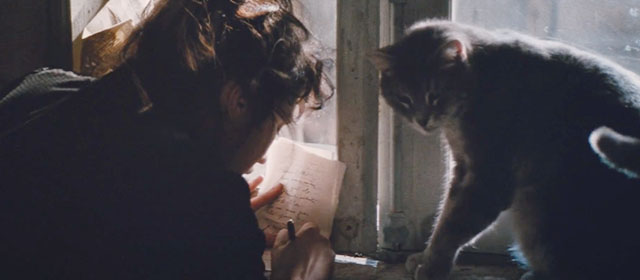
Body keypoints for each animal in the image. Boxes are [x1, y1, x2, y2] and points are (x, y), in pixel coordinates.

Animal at [370, 20, 640, 280]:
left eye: (434, 96)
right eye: (404, 99)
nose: (422, 120)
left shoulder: (488, 179)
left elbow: (454, 226)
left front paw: (433, 266)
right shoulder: (463, 168)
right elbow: (444, 217)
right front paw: (425, 257)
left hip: (540, 210)